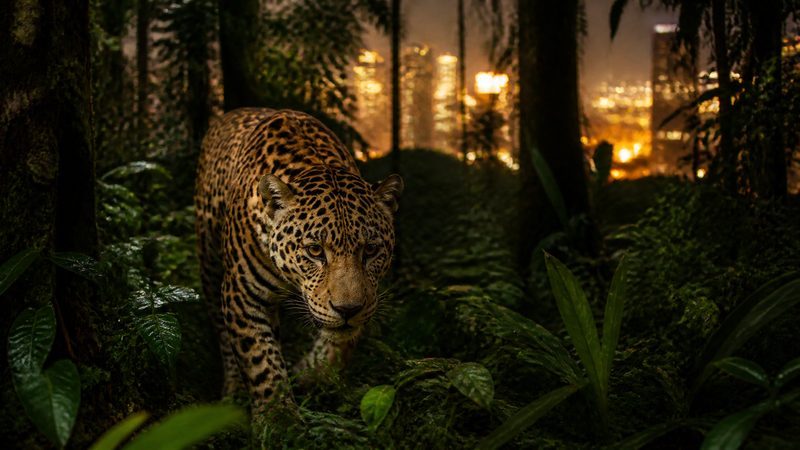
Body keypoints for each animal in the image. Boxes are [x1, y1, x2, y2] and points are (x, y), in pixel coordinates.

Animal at [195, 107, 403, 412]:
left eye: (371, 250)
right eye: (315, 251)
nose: (348, 310)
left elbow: (338, 346)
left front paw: (313, 374)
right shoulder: (242, 294)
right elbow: (261, 364)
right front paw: (279, 417)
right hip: (209, 260)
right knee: (221, 328)